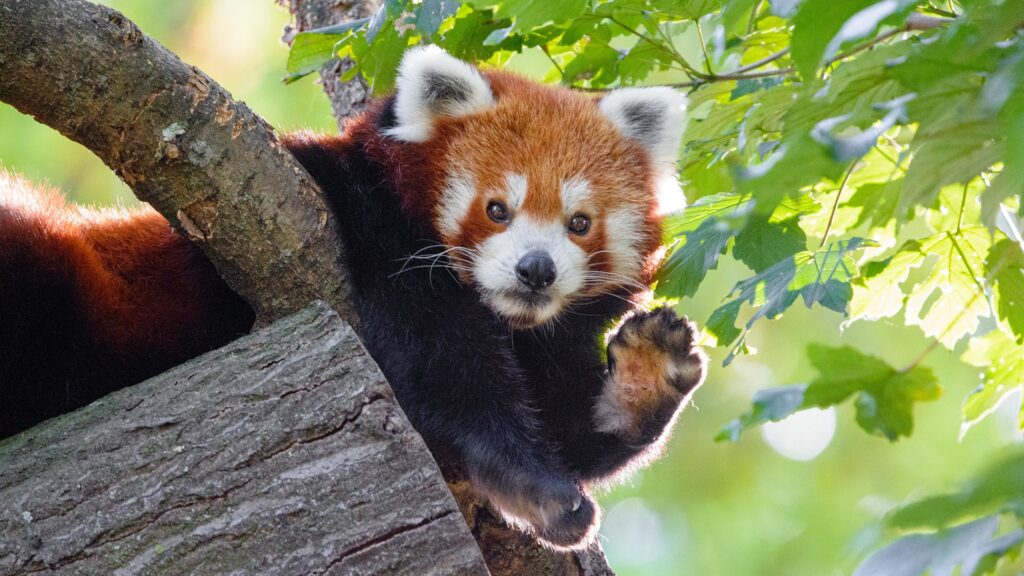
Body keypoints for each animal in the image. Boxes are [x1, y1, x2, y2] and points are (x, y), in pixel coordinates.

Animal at [0, 46, 706, 549]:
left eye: (579, 223)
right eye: (496, 210)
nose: (536, 271)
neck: (507, 318)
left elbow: (563, 419)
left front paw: (644, 379)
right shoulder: (369, 226)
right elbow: (445, 369)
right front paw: (530, 485)